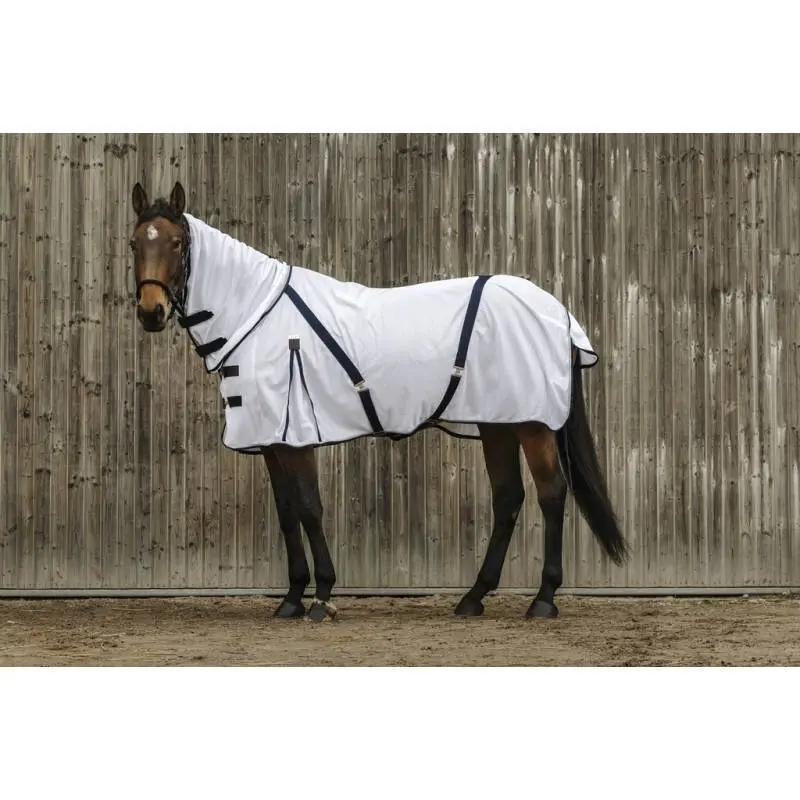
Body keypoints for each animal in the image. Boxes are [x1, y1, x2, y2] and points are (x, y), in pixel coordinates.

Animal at [130, 180, 627, 622]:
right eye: (135, 242)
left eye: (176, 242)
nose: (151, 312)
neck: (258, 316)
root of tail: (557, 312)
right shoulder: (271, 440)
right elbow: (287, 512)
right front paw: (291, 599)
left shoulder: (297, 437)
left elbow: (309, 508)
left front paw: (321, 597)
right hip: (497, 422)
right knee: (508, 498)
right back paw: (473, 598)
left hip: (534, 425)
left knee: (551, 494)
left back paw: (543, 600)